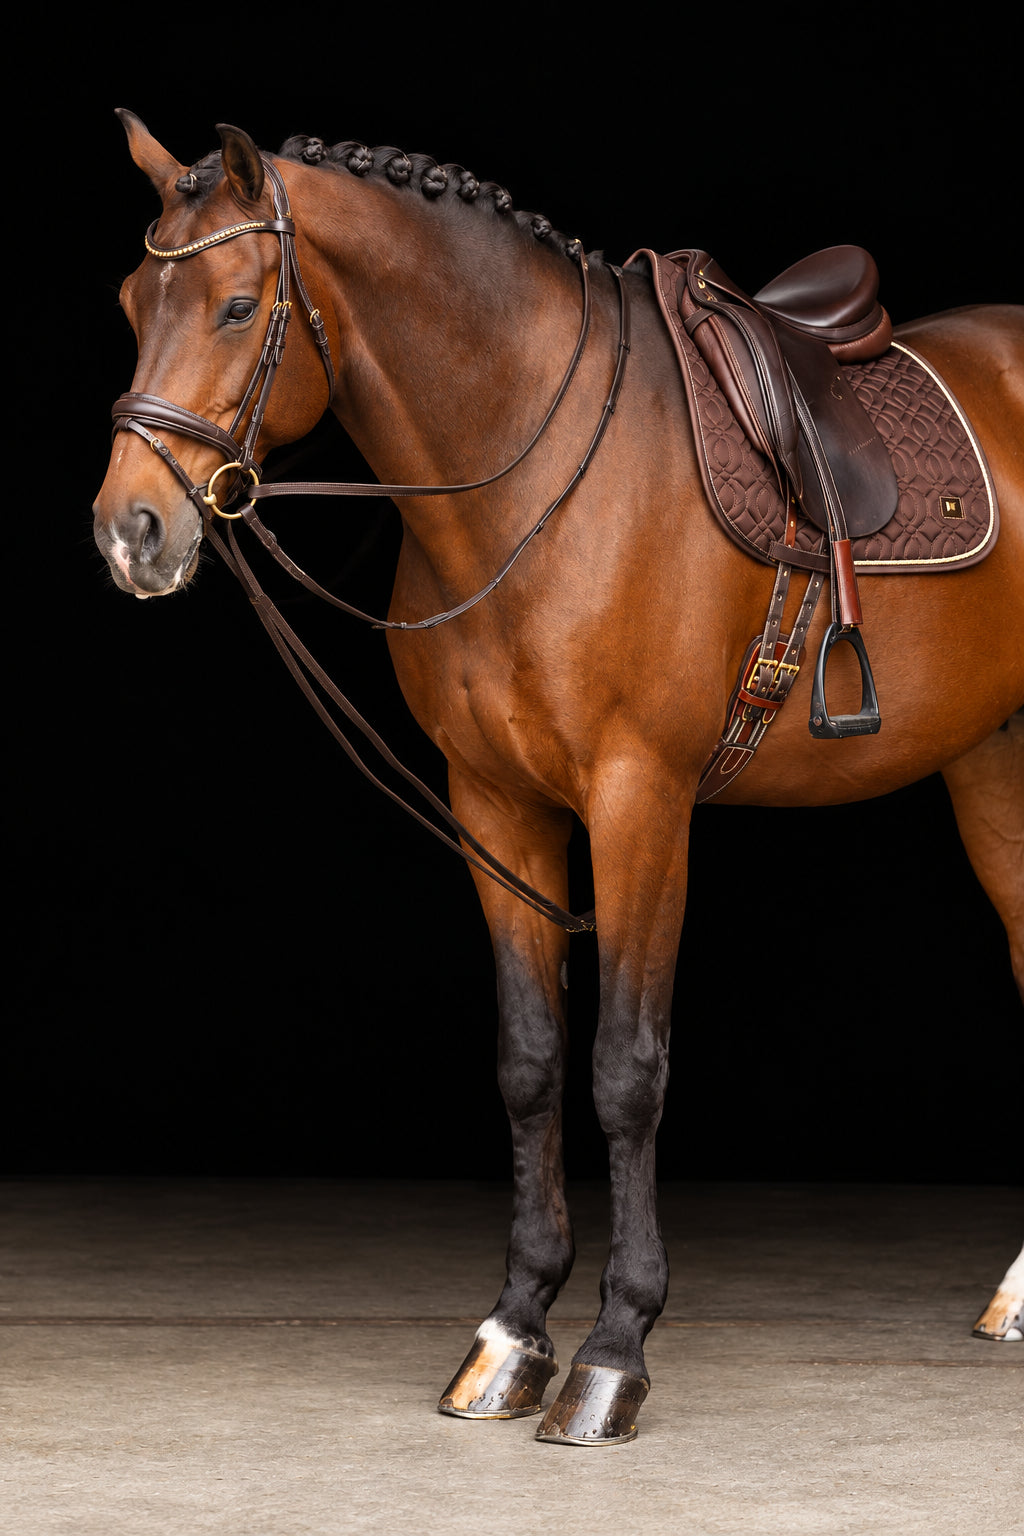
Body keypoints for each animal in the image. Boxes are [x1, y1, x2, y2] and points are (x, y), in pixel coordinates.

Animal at [92, 112, 1024, 1444]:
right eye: (131, 302)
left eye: (232, 305)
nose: (130, 533)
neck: (527, 479)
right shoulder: (496, 804)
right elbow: (529, 1061)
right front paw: (512, 1331)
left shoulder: (640, 801)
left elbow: (624, 1072)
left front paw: (613, 1350)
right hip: (990, 760)